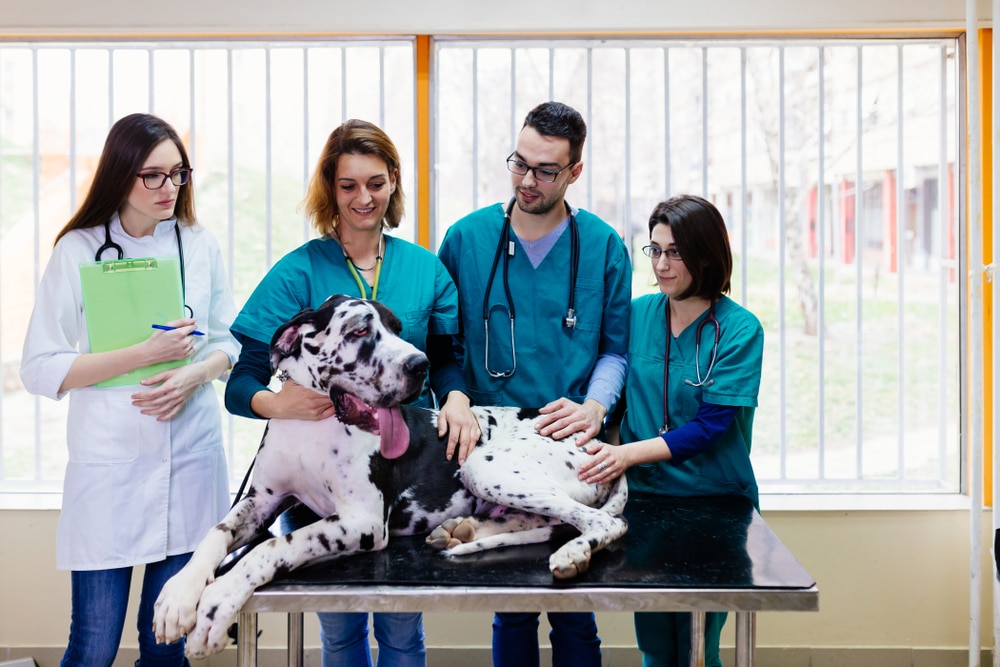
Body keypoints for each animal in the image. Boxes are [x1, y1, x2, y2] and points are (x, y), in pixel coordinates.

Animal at [153, 296, 628, 656]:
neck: (314, 425)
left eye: (398, 327)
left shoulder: (361, 522)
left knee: (605, 522)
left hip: (484, 466)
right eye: (359, 331)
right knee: (547, 519)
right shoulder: (260, 501)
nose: (419, 364)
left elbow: (274, 546)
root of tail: (596, 441)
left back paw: (570, 553)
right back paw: (464, 529)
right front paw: (179, 594)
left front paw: (217, 602)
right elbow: (214, 535)